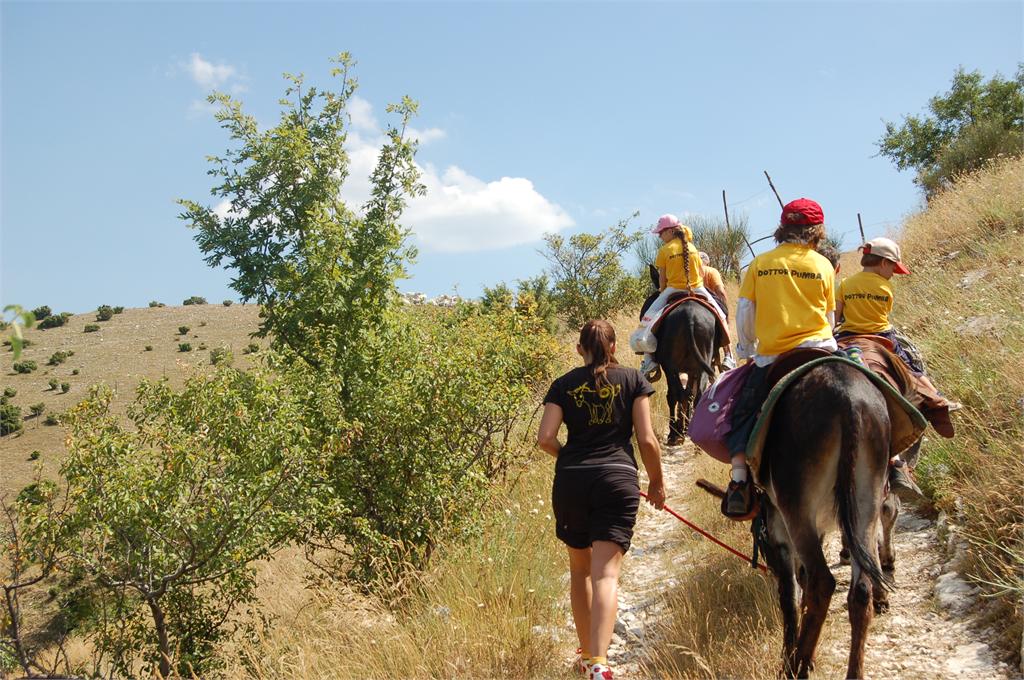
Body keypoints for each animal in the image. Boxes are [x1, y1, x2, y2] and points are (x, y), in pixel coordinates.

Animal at [639, 265, 720, 445]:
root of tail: (690, 317)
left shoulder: (670, 367)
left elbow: (676, 394)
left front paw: (677, 430)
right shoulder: (692, 368)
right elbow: (689, 392)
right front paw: (685, 425)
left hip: (671, 366)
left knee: (675, 394)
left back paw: (675, 432)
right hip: (701, 362)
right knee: (697, 393)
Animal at [754, 361, 894, 679]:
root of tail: (849, 400)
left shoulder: (780, 530)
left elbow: (791, 595)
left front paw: (792, 655)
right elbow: (801, 588)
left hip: (798, 513)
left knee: (822, 583)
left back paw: (795, 667)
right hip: (865, 505)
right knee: (861, 591)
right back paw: (851, 671)